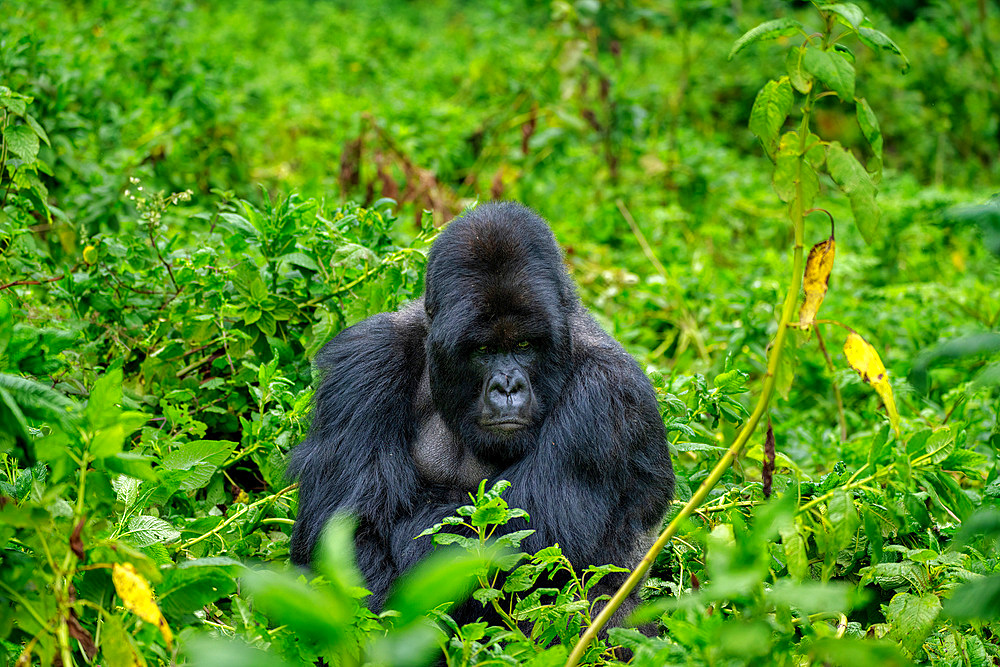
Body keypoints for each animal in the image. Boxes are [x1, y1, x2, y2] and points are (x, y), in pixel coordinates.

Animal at [292, 201, 676, 620]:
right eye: (484, 350)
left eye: (524, 345)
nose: (507, 387)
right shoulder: (367, 359)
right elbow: (347, 531)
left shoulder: (608, 393)